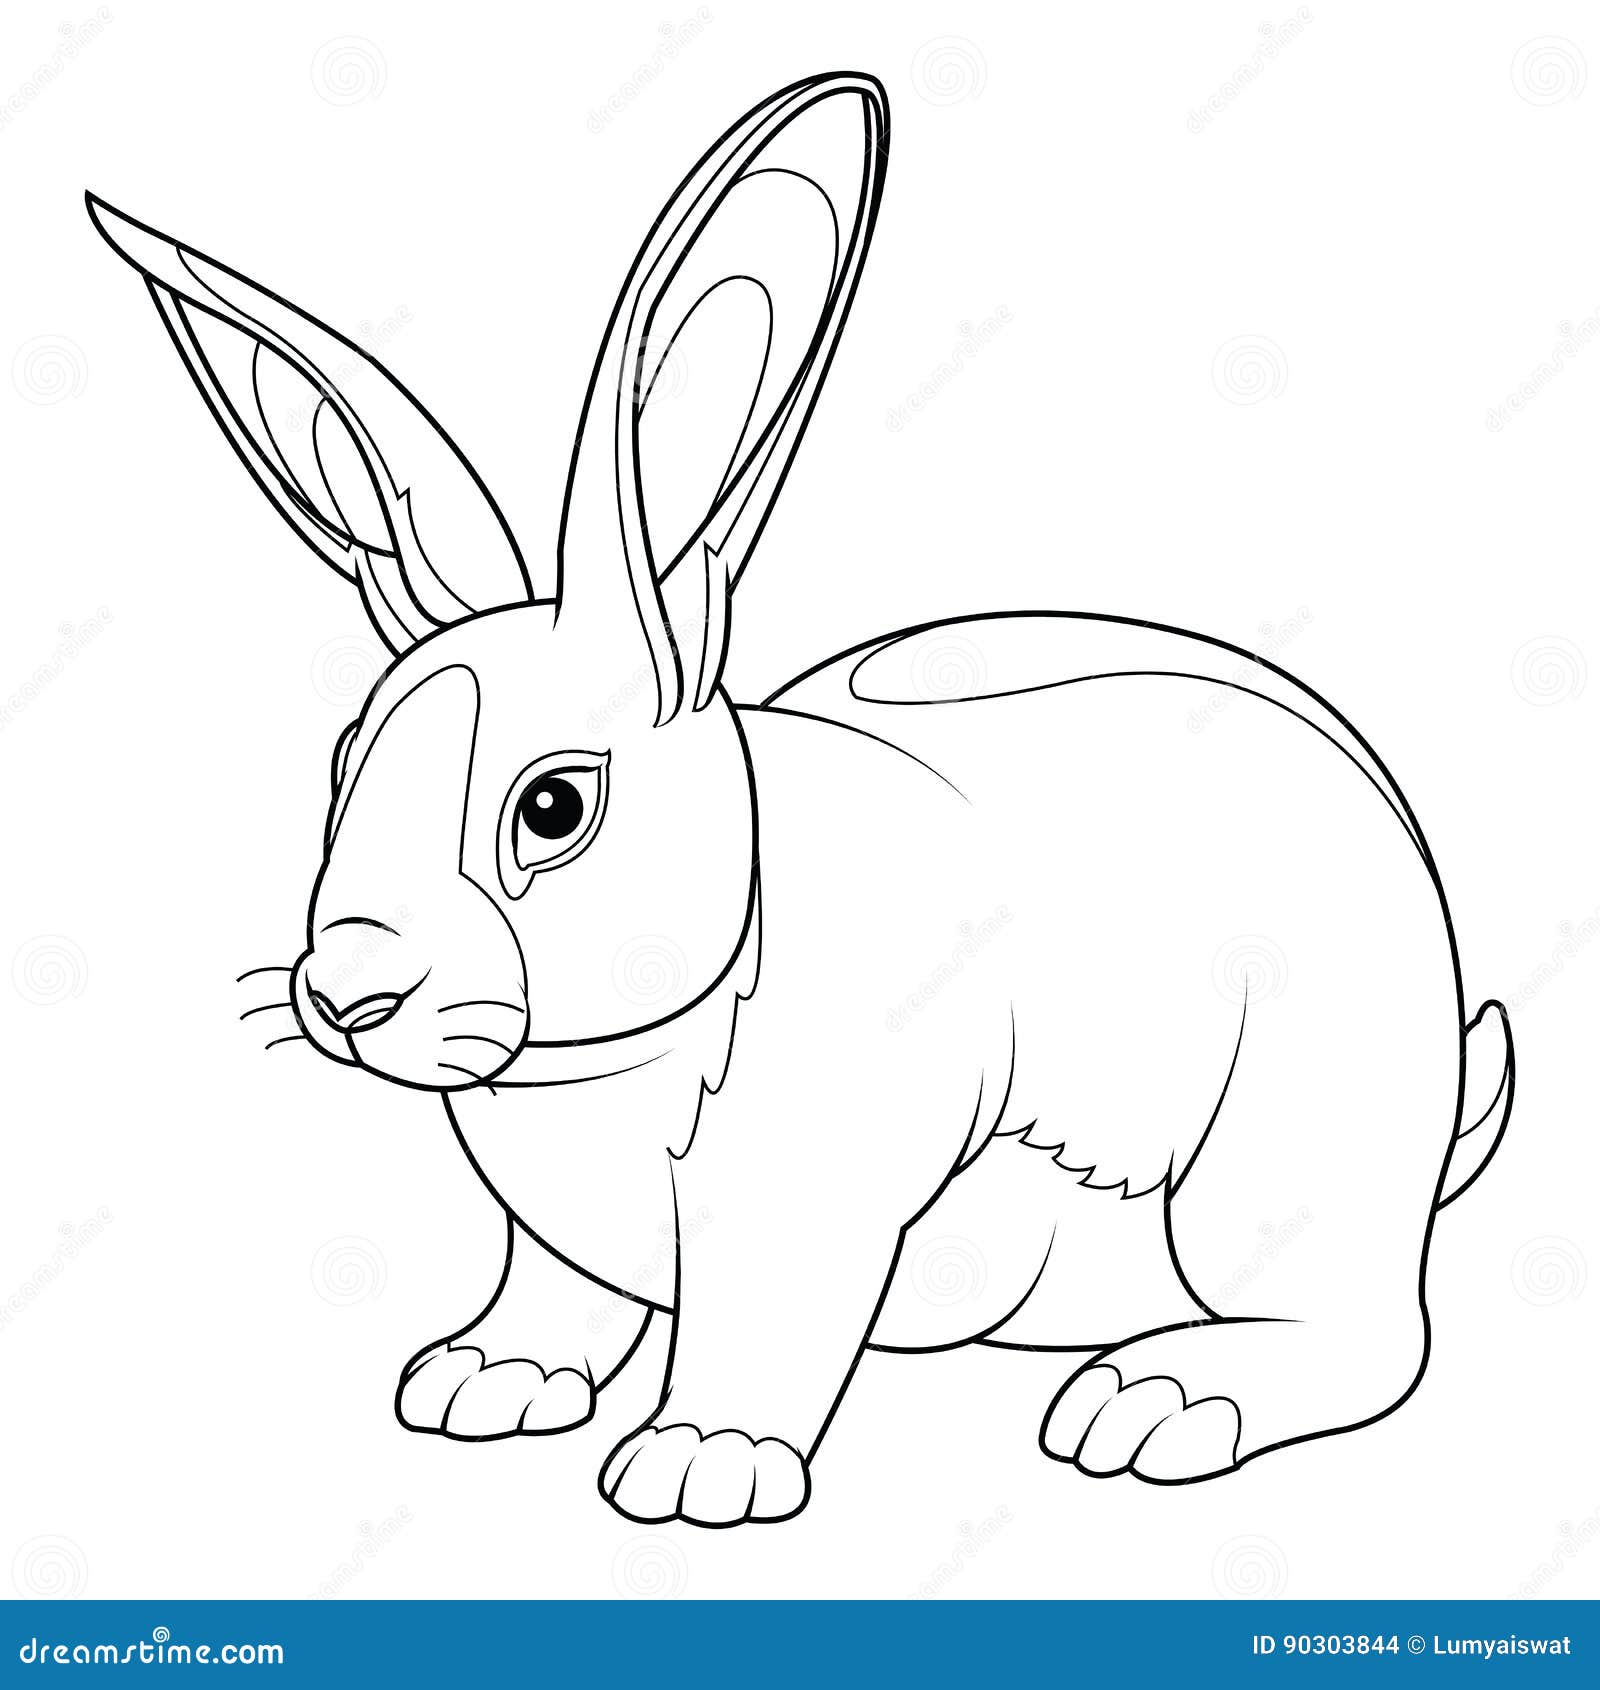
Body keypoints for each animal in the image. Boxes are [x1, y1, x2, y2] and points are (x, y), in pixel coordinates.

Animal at [90, 70, 1514, 1527]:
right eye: (338, 764)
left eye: (553, 809)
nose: (345, 990)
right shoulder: (553, 1234)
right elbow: (550, 1291)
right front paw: (484, 1381)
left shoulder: (807, 1209)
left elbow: (765, 1332)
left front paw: (698, 1465)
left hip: (1286, 1142)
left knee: (1372, 1333)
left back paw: (1156, 1401)